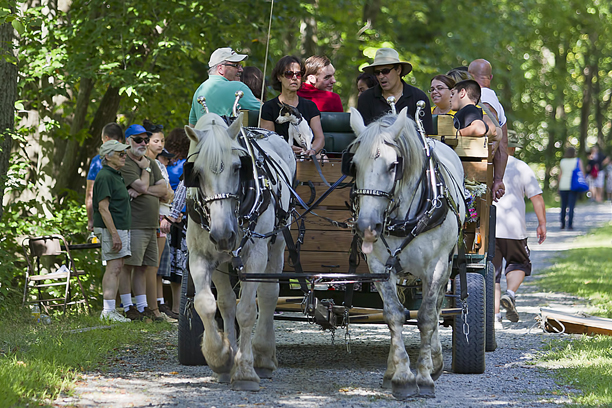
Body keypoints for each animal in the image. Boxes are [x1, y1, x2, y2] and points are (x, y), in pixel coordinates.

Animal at [184, 112, 296, 392]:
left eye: (238, 167)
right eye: (196, 173)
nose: (224, 234)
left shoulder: (255, 256)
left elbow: (247, 311)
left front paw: (245, 371)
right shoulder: (202, 257)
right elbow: (208, 305)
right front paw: (221, 358)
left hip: (277, 243)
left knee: (268, 296)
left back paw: (263, 357)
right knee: (226, 303)